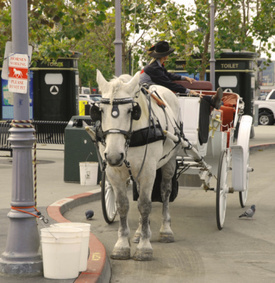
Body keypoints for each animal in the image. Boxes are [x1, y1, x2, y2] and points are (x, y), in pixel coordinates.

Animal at [89, 71, 183, 262]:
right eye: (99, 111)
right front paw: (122, 244)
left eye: (131, 111)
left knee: (165, 192)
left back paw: (165, 230)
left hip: (169, 161)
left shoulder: (148, 171)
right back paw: (139, 232)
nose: (114, 155)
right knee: (139, 195)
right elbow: (123, 205)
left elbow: (145, 205)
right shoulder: (114, 172)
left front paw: (145, 247)